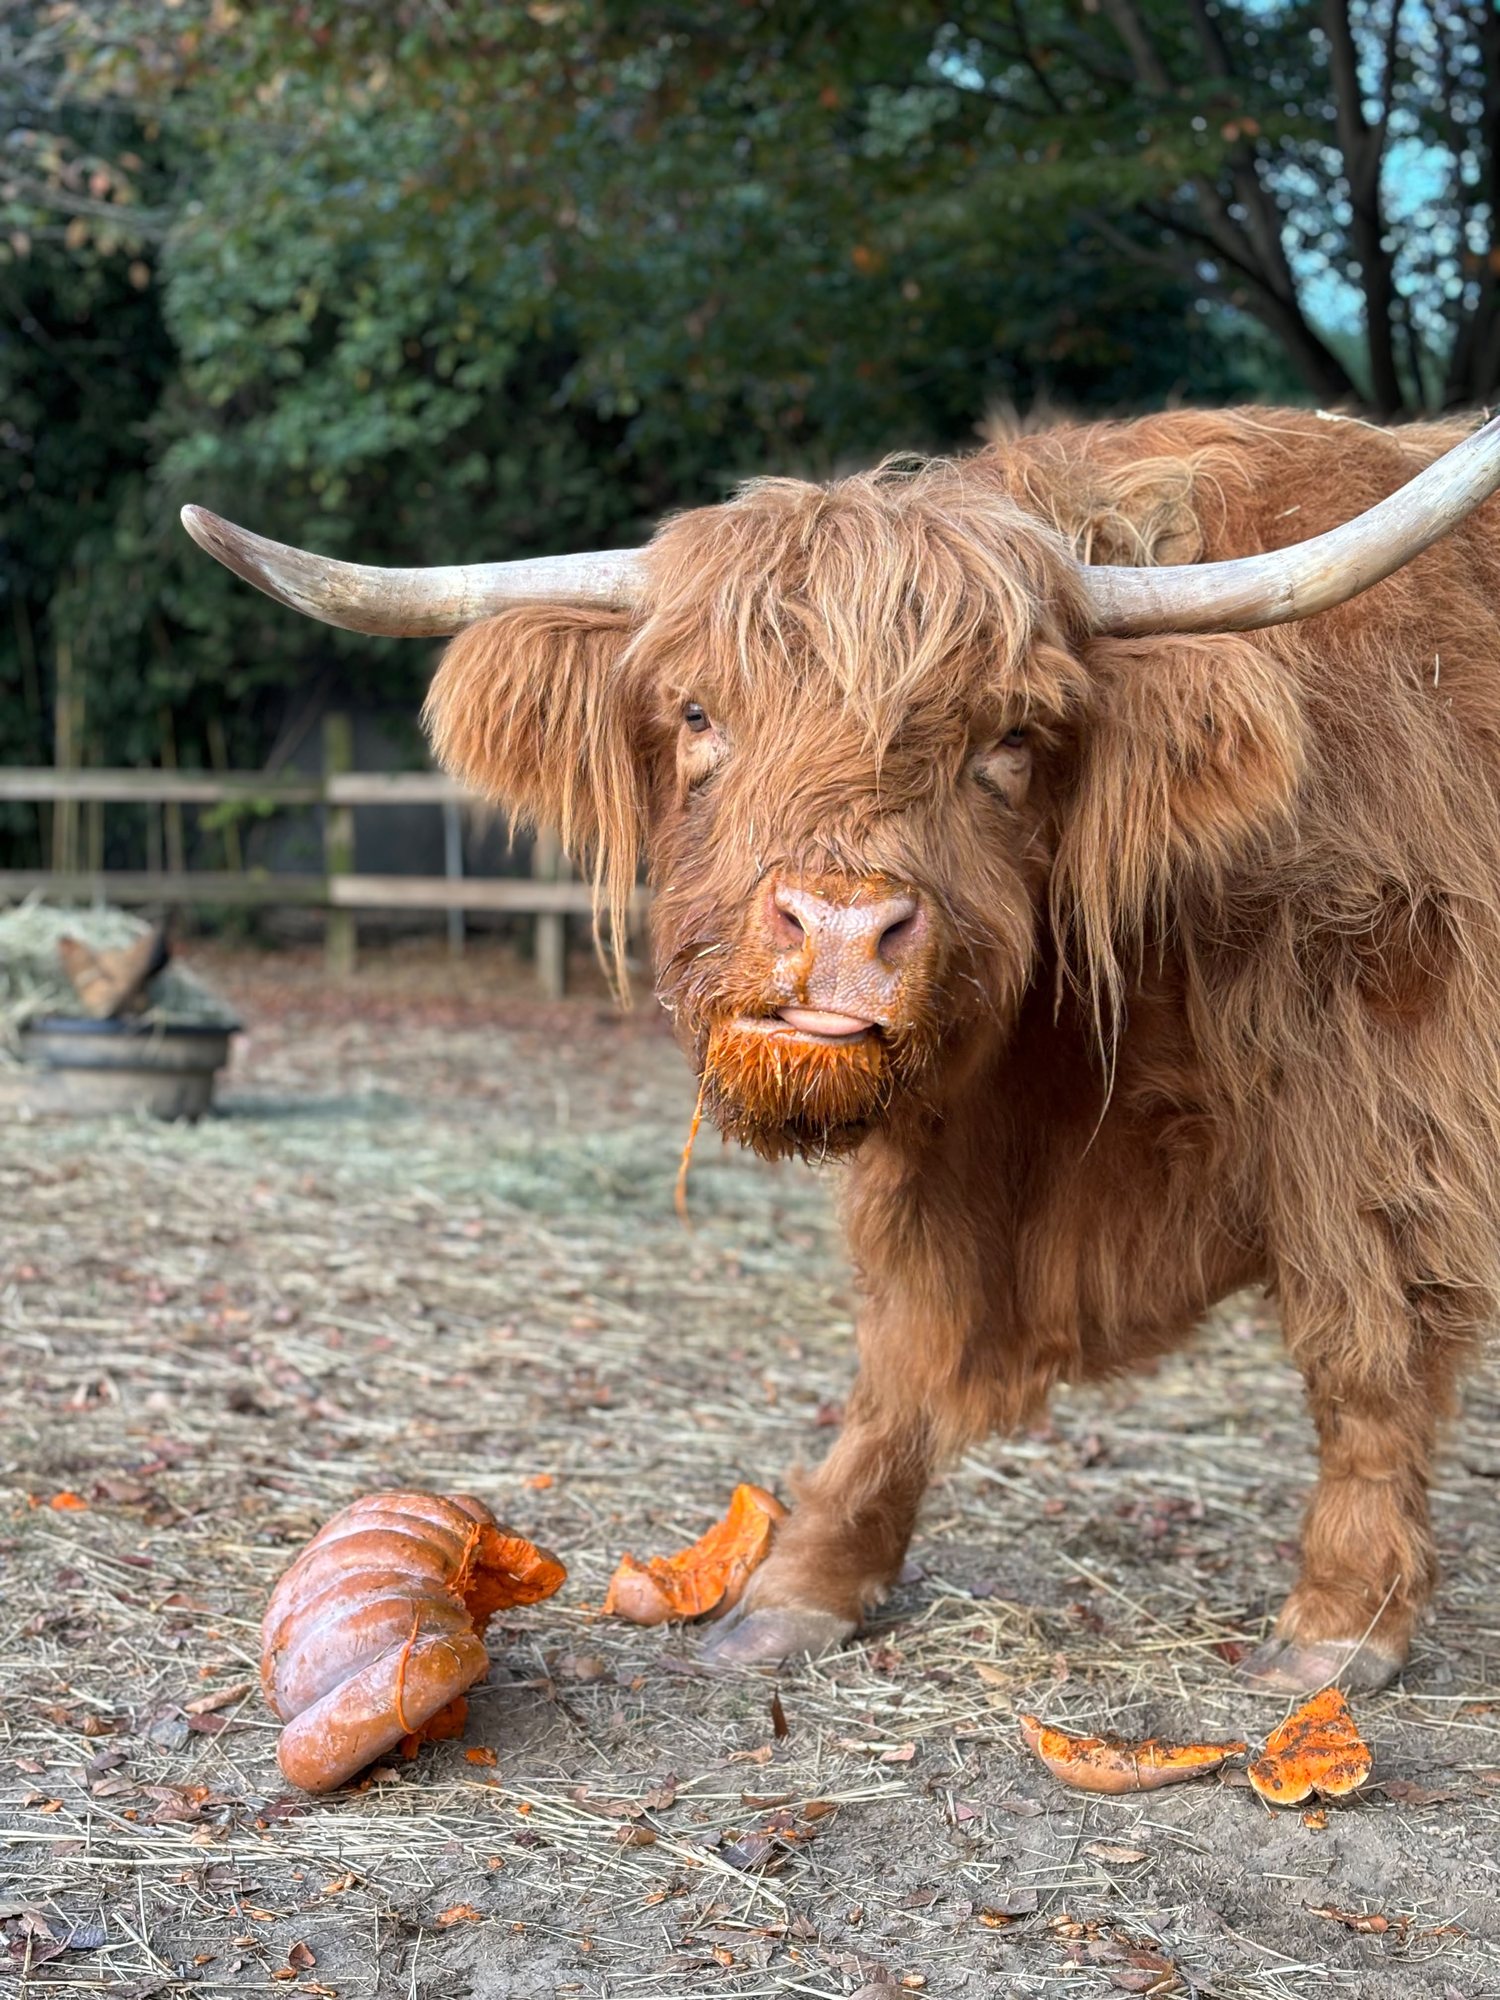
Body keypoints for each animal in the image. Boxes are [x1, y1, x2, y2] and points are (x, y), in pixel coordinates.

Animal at [184, 404, 1500, 1693]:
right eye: (699, 712)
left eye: (1010, 736)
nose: (841, 930)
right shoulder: (958, 1158)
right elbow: (905, 1352)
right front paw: (805, 1581)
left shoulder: (1384, 1094)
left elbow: (1369, 1342)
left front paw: (1343, 1617)